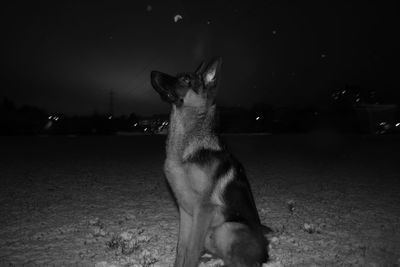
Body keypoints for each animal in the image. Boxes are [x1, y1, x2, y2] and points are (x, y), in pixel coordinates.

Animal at [150, 57, 268, 266]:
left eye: (186, 79)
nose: (152, 73)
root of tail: (266, 251)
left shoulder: (203, 209)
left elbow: (191, 250)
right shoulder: (185, 211)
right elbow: (182, 248)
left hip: (228, 228)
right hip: (212, 233)